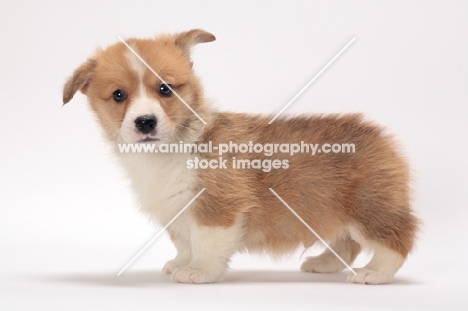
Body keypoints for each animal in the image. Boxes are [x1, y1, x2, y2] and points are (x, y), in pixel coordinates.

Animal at [63, 29, 420, 286]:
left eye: (165, 89)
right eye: (118, 95)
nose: (145, 122)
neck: (172, 148)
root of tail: (379, 135)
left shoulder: (218, 207)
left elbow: (206, 243)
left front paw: (199, 272)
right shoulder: (176, 211)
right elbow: (184, 242)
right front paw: (180, 263)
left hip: (367, 207)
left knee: (396, 239)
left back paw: (374, 273)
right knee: (346, 241)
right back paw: (324, 263)